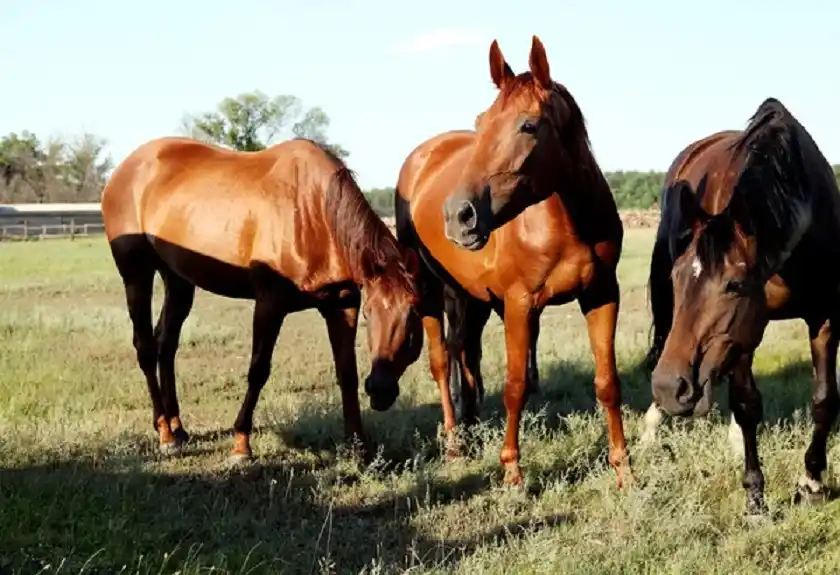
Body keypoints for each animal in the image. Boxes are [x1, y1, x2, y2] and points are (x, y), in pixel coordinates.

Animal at [101, 136, 423, 462]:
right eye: (370, 313)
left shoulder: (342, 306)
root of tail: (126, 168)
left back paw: (178, 429)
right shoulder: (270, 303)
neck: (313, 212)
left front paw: (358, 445)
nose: (380, 390)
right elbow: (258, 370)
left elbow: (347, 373)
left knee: (166, 345)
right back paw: (165, 432)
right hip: (136, 273)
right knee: (145, 347)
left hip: (178, 279)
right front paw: (241, 445)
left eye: (414, 313)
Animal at [395, 35, 631, 488]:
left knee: (466, 355)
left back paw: (471, 427)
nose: (458, 216)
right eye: (481, 120)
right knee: (442, 362)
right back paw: (455, 445)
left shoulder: (602, 295)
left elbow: (607, 382)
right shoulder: (520, 304)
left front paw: (624, 470)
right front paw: (512, 474)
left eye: (529, 125)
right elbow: (516, 386)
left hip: (472, 296)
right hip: (429, 289)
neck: (567, 223)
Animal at [642, 97, 840, 514]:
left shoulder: (825, 317)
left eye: (733, 285)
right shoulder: (742, 335)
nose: (670, 388)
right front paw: (754, 495)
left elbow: (824, 400)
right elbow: (748, 404)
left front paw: (812, 482)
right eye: (677, 278)